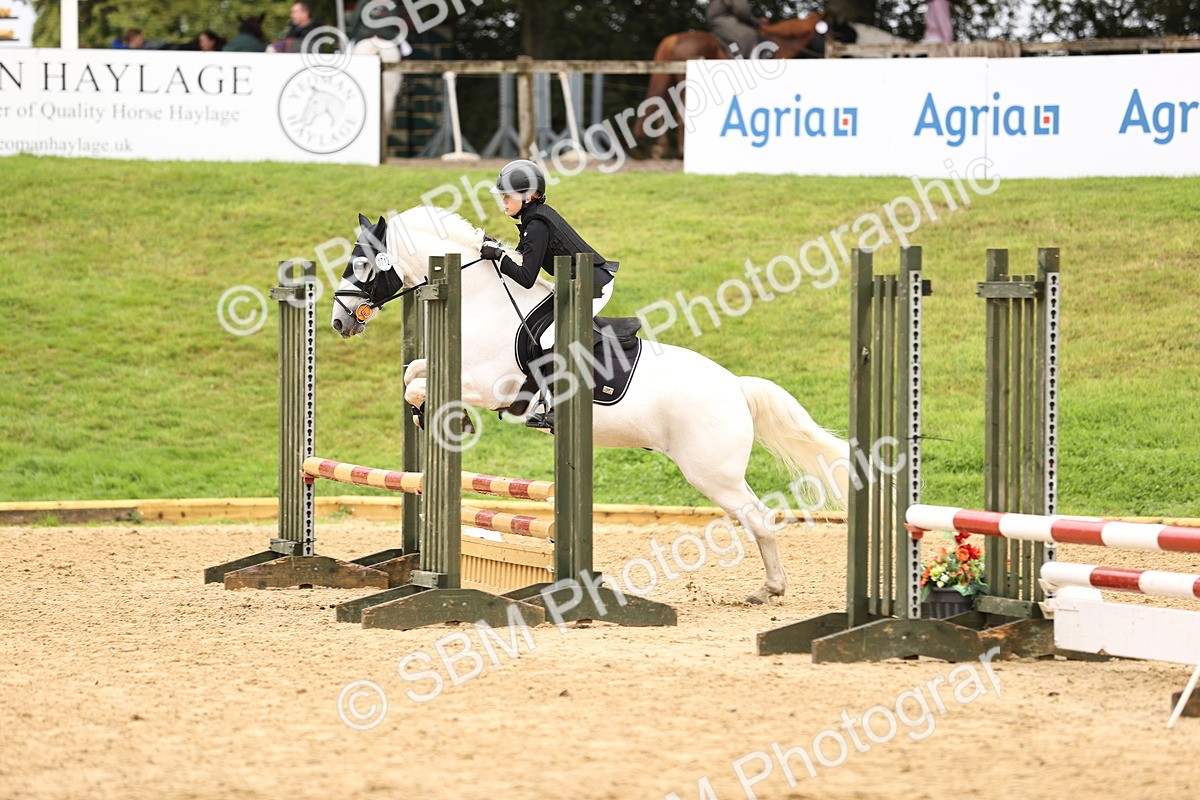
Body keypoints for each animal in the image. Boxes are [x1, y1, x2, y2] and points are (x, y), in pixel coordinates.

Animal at [329, 209, 850, 605]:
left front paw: (441, 415)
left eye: (361, 264)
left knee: (757, 517)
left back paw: (770, 589)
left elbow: (419, 384)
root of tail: (736, 387)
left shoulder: (488, 385)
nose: (338, 321)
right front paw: (434, 416)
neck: (481, 299)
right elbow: (412, 374)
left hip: (712, 472)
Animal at [634, 14, 857, 155]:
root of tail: (675, 38)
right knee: (679, 112)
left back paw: (659, 149)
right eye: (827, 33)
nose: (837, 51)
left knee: (660, 106)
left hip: (669, 78)